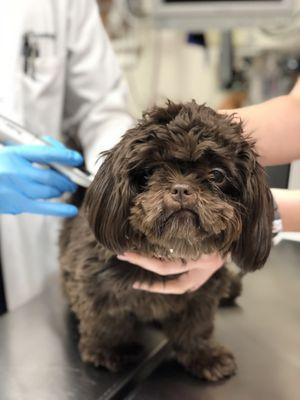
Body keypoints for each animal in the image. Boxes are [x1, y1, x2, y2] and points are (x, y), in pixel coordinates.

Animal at [59, 100, 274, 382]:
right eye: (151, 170)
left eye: (217, 175)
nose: (182, 189)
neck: (169, 251)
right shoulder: (94, 282)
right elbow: (106, 320)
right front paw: (109, 349)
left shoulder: (203, 290)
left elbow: (196, 326)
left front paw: (204, 356)